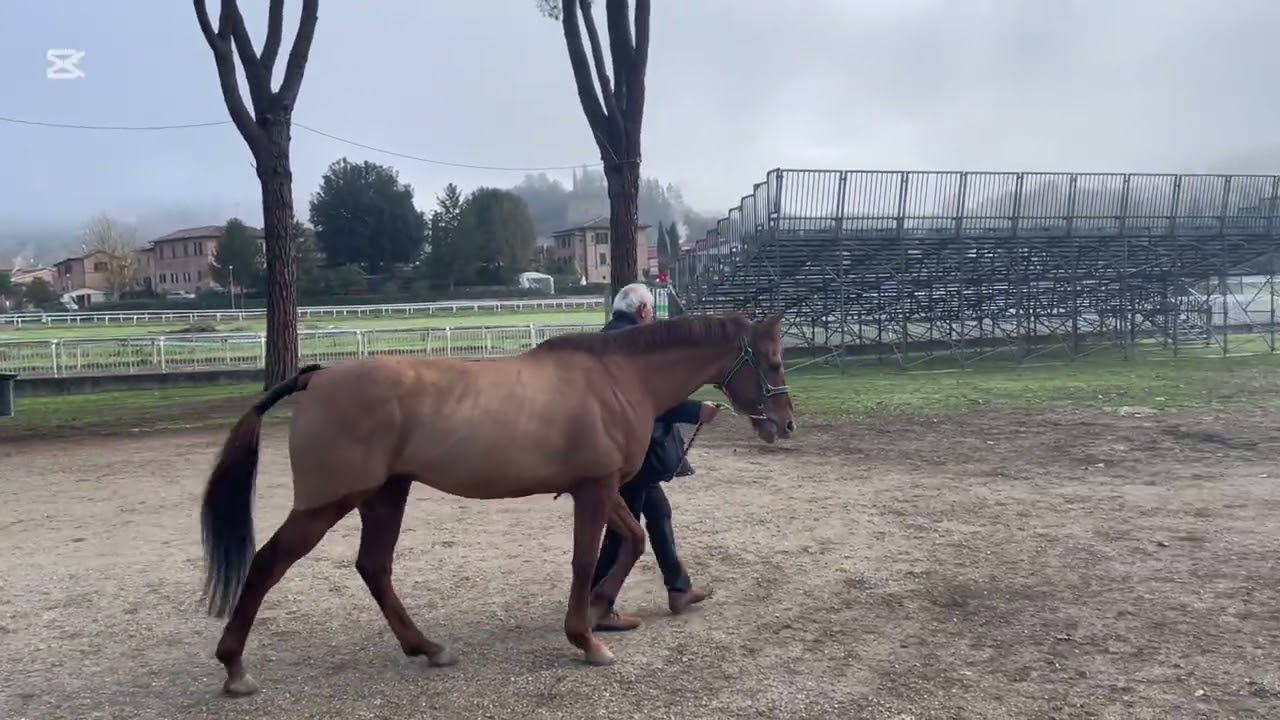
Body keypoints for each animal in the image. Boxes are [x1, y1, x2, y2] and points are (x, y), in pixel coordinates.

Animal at [198, 311, 795, 696]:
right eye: (773, 361)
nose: (785, 425)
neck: (615, 379)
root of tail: (316, 377)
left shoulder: (600, 489)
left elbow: (634, 539)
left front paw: (601, 609)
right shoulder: (595, 488)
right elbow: (587, 558)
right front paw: (586, 638)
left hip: (386, 495)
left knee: (374, 567)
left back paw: (428, 647)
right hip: (328, 503)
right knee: (268, 564)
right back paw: (234, 669)